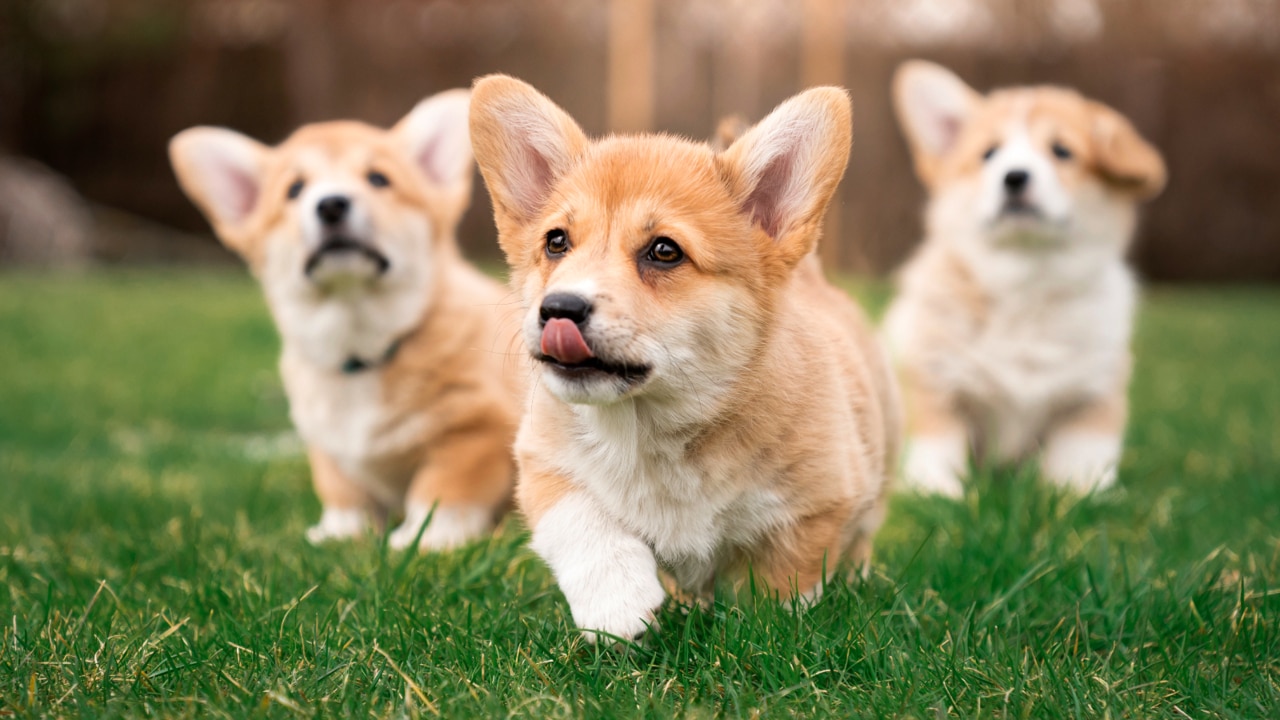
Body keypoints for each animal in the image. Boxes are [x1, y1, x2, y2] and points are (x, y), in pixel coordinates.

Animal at [168, 90, 519, 548]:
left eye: (378, 179)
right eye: (294, 189)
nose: (332, 204)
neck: (360, 342)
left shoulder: (474, 432)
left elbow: (442, 489)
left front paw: (426, 538)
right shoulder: (329, 450)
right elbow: (343, 492)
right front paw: (340, 534)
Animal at [471, 75, 901, 640]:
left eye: (664, 251)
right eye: (556, 242)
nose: (558, 308)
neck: (656, 429)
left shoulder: (818, 503)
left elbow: (781, 585)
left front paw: (766, 632)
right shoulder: (543, 458)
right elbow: (580, 521)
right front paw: (617, 603)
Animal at [885, 60, 1167, 491]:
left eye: (1062, 151)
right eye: (988, 154)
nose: (1014, 177)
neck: (1025, 282)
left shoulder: (1091, 394)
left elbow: (1082, 461)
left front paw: (1080, 492)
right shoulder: (936, 380)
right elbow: (936, 449)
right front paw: (933, 491)